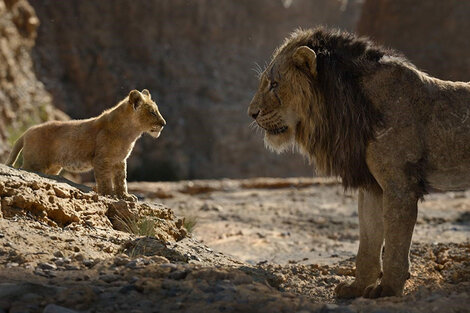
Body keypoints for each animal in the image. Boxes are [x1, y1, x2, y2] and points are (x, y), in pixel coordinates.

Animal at [248, 28, 470, 298]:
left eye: (274, 84)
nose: (252, 113)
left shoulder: (400, 186)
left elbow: (395, 243)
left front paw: (388, 289)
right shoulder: (372, 186)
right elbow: (368, 241)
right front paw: (357, 287)